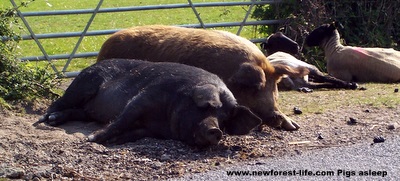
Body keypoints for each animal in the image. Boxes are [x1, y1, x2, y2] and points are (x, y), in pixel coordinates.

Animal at [33, 58, 260, 146]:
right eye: (208, 108)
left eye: (224, 119)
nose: (216, 130)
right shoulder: (143, 97)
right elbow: (122, 119)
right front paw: (93, 139)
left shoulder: (152, 130)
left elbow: (134, 133)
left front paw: (114, 141)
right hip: (83, 84)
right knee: (59, 103)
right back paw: (46, 120)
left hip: (88, 109)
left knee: (77, 112)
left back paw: (54, 120)